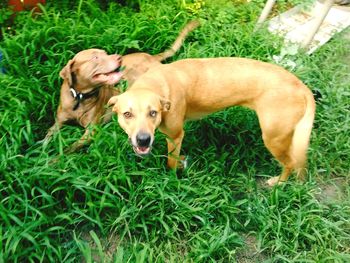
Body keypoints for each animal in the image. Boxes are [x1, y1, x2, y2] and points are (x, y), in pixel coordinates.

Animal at [43, 20, 200, 153]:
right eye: (95, 57)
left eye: (105, 53)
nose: (119, 58)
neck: (80, 97)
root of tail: (151, 57)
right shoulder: (58, 122)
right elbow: (46, 138)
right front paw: (41, 155)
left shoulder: (90, 132)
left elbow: (68, 149)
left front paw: (53, 160)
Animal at [108, 57, 316, 188]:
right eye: (127, 114)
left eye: (153, 113)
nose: (143, 140)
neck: (156, 84)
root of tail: (301, 86)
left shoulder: (175, 136)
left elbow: (170, 162)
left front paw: (174, 175)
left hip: (274, 139)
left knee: (290, 163)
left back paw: (279, 183)